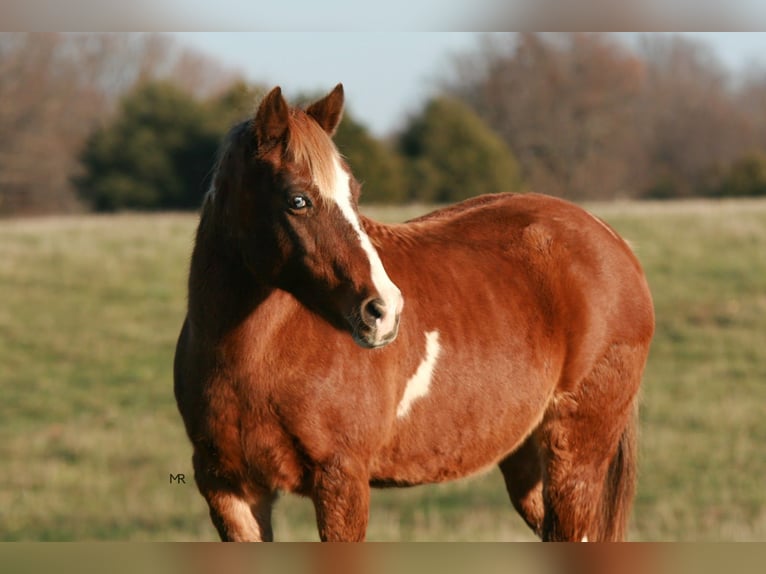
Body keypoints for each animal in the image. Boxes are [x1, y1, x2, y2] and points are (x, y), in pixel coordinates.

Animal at [173, 84, 655, 542]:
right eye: (297, 200)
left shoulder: (341, 480)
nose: (383, 310)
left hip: (575, 458)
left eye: (354, 194)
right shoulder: (229, 490)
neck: (255, 358)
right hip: (528, 467)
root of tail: (616, 244)